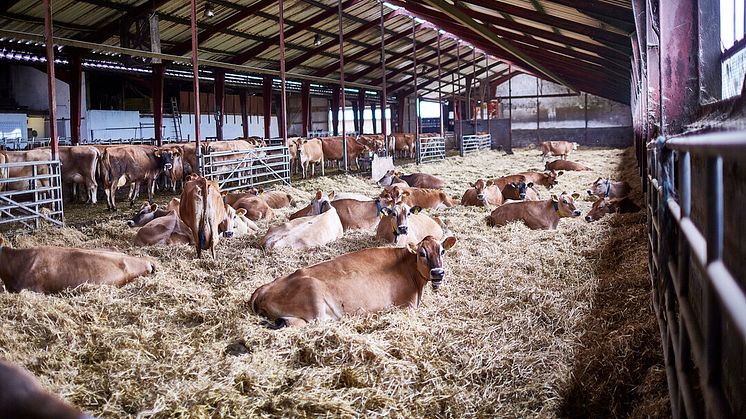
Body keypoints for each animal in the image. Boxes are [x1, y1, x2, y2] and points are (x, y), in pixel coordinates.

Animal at [250, 236, 456, 328]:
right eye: (422, 253)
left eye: (442, 251)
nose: (438, 273)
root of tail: (263, 288)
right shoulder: (407, 306)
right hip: (313, 297)